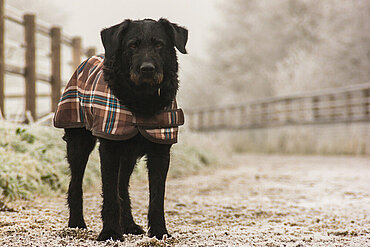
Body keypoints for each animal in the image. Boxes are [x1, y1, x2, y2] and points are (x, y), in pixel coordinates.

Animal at [62, 18, 188, 241]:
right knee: (76, 184)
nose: (147, 69)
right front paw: (110, 232)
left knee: (123, 188)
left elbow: (156, 196)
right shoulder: (110, 149)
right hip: (78, 144)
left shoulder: (160, 152)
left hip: (128, 157)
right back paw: (76, 224)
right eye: (132, 45)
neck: (141, 99)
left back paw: (128, 224)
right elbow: (110, 194)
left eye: (159, 45)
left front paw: (159, 232)